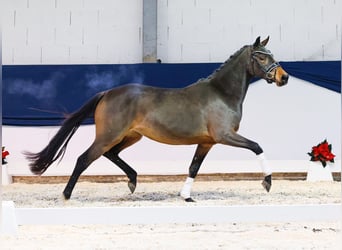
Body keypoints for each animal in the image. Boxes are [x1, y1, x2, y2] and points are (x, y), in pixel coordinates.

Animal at [24, 36, 288, 201]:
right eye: (261, 57)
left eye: (270, 54)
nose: (284, 78)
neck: (221, 93)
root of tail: (107, 93)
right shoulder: (225, 135)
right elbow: (257, 146)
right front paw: (267, 182)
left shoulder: (206, 142)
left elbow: (193, 167)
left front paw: (186, 197)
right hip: (109, 136)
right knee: (84, 159)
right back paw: (66, 195)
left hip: (131, 136)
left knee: (112, 154)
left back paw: (132, 181)